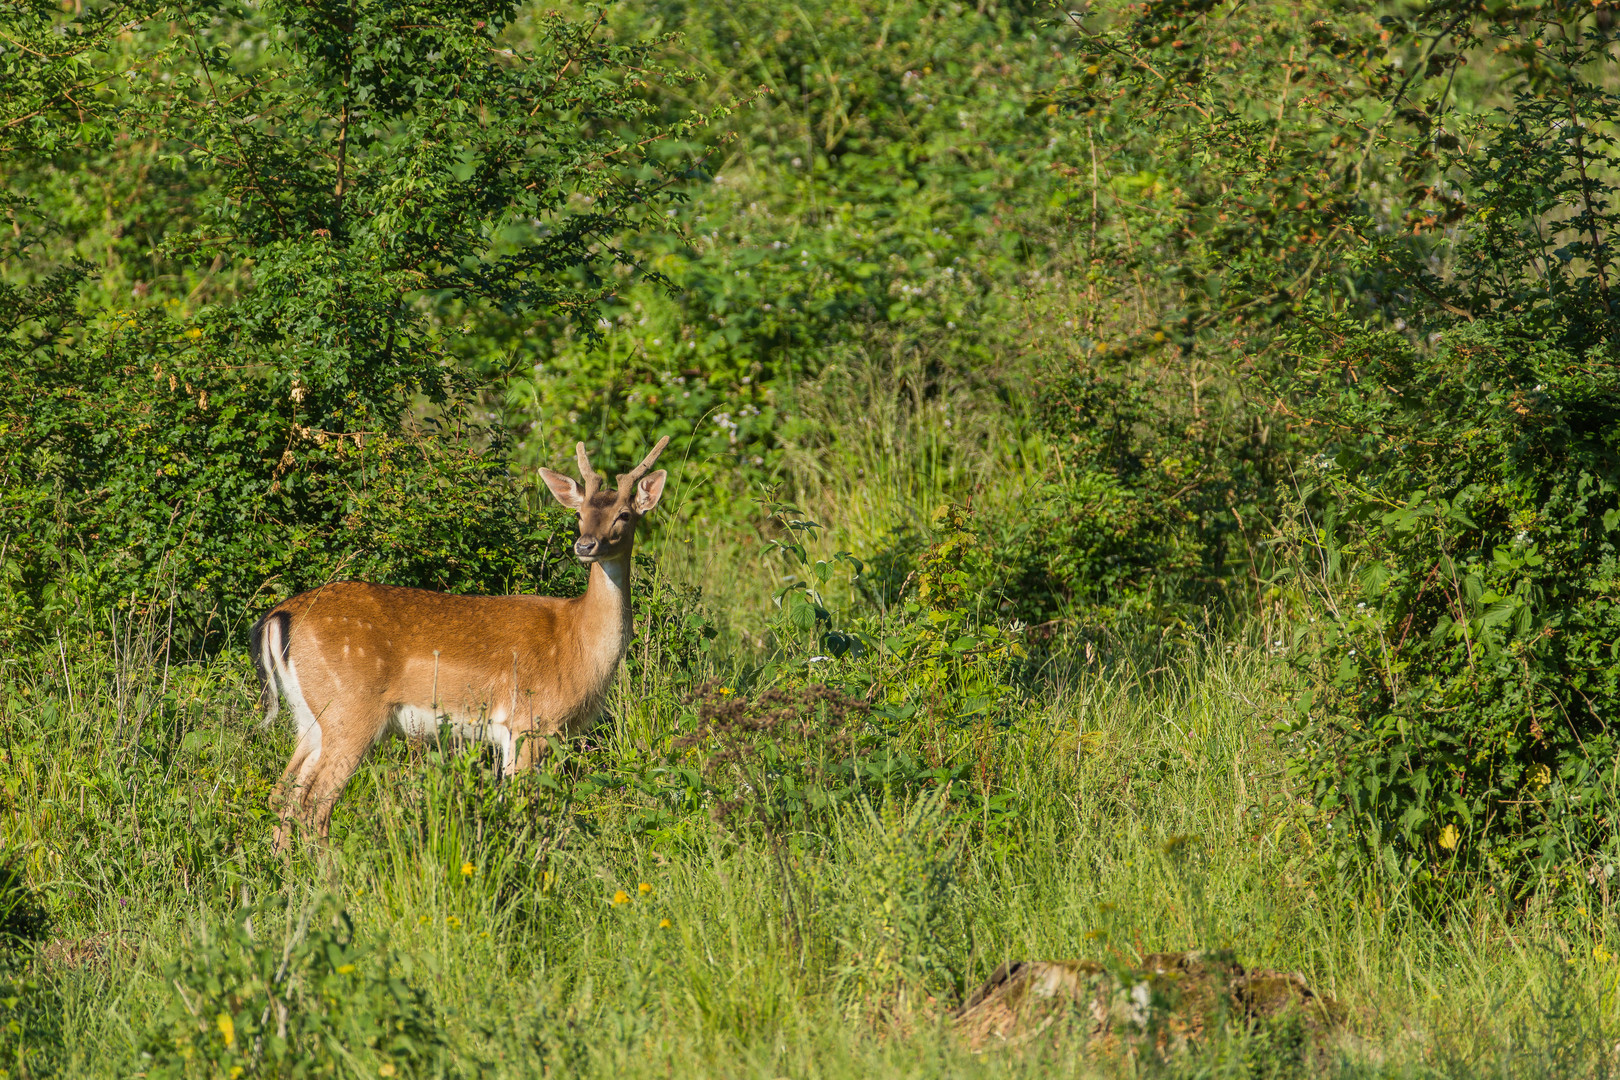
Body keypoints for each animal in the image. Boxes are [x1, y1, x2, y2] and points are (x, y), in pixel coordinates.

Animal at [249, 433, 667, 854]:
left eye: (624, 515)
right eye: (579, 515)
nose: (585, 545)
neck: (577, 644)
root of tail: (278, 616)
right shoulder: (530, 721)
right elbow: (520, 806)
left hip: (309, 716)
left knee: (283, 794)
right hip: (351, 710)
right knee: (316, 801)